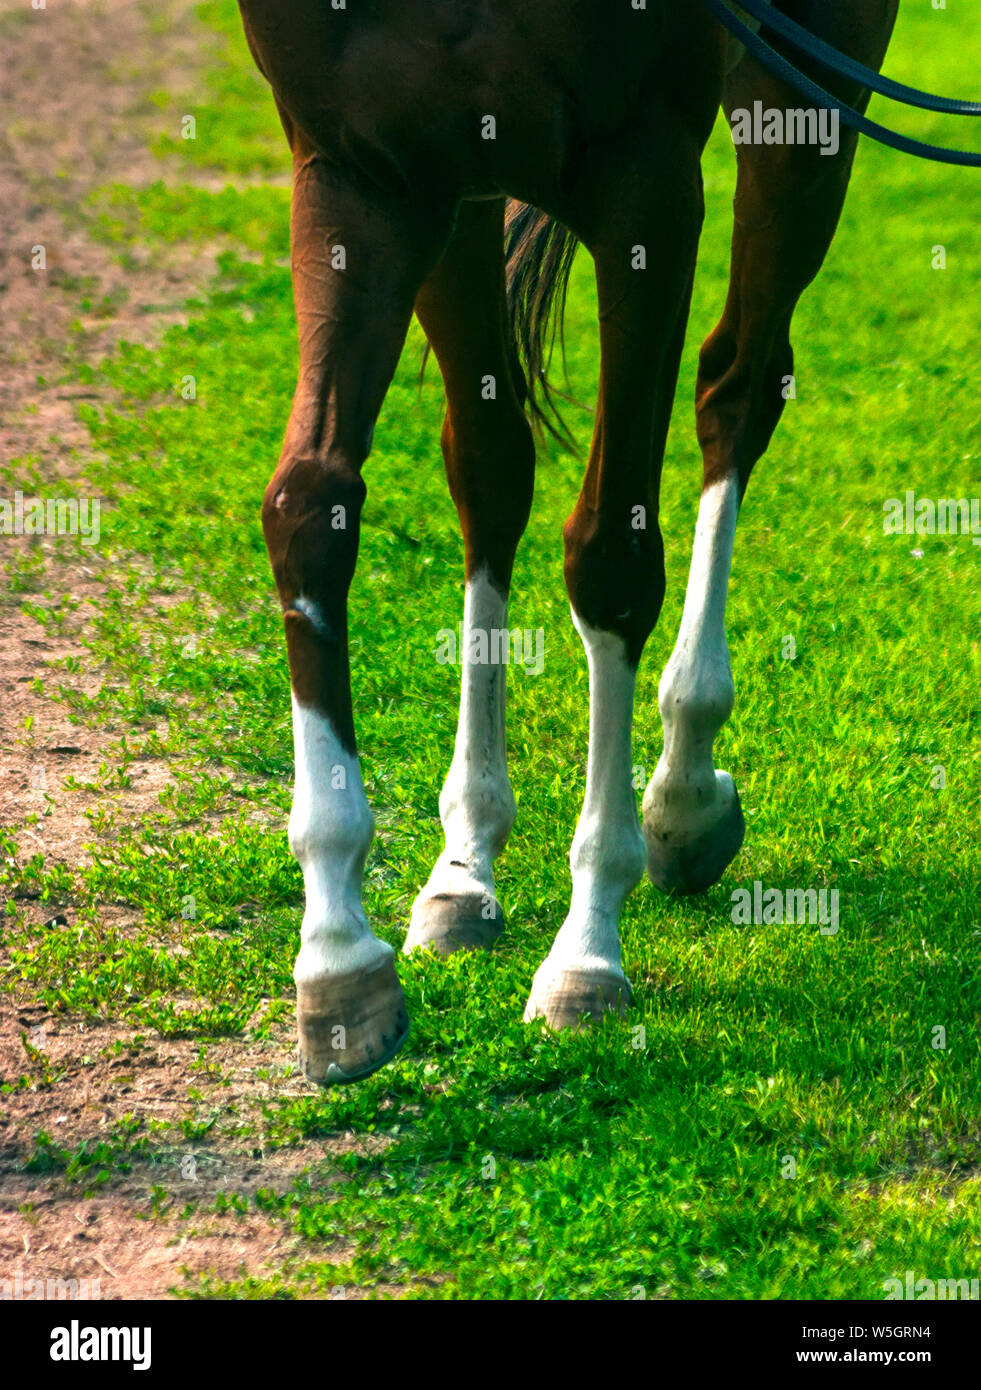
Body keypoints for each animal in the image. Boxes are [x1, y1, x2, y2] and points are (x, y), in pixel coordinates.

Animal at [235, 0, 900, 1085]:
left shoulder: (646, 183)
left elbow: (612, 557)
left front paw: (587, 952)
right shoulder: (368, 173)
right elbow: (311, 508)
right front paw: (339, 957)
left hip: (807, 97)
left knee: (738, 385)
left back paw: (682, 787)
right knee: (495, 463)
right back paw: (465, 864)